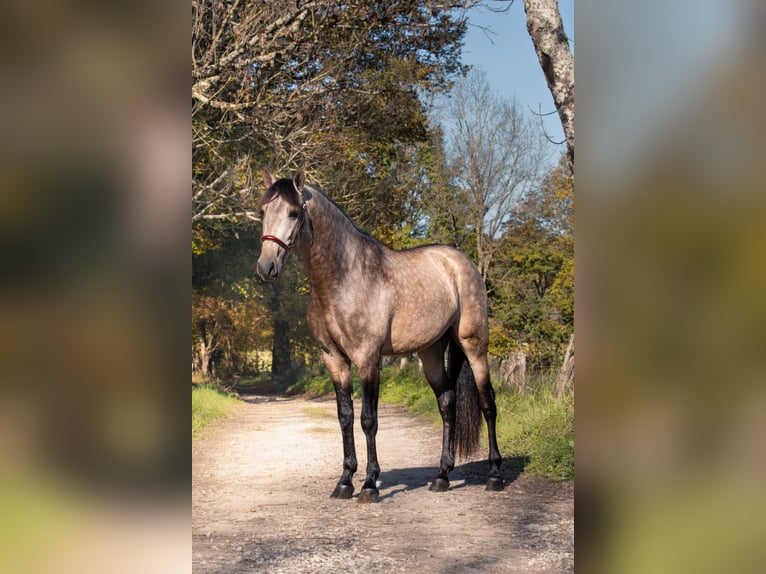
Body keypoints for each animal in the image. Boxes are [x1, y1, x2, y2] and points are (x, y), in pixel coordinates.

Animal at [256, 168, 504, 502]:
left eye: (294, 213)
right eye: (263, 212)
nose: (265, 267)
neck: (343, 278)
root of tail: (461, 262)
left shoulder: (367, 359)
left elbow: (368, 420)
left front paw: (370, 484)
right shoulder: (334, 359)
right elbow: (345, 416)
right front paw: (345, 481)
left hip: (474, 345)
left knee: (487, 403)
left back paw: (494, 474)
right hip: (431, 352)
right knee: (447, 404)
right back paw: (441, 476)